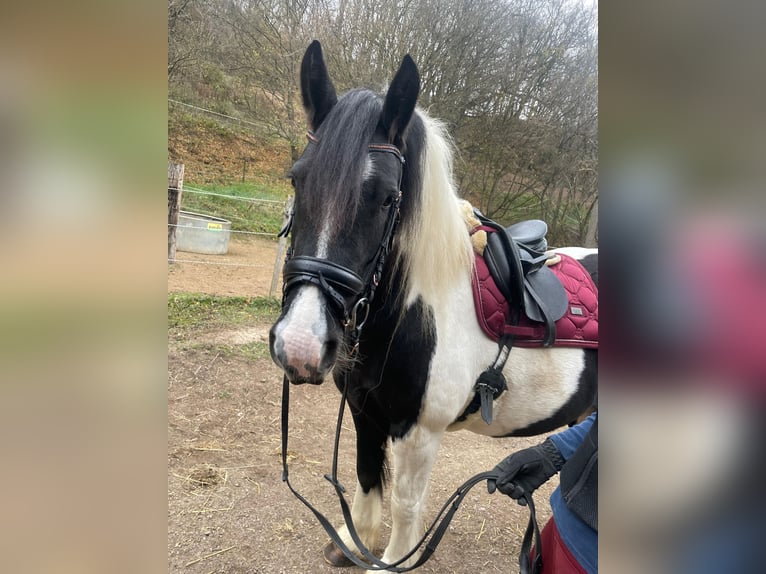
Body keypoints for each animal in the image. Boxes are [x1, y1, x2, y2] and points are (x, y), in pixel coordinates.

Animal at [270, 41, 600, 572]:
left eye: (388, 199)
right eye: (298, 179)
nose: (300, 344)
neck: (412, 315)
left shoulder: (418, 433)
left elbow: (405, 505)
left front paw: (391, 560)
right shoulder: (364, 413)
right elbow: (366, 478)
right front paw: (353, 541)